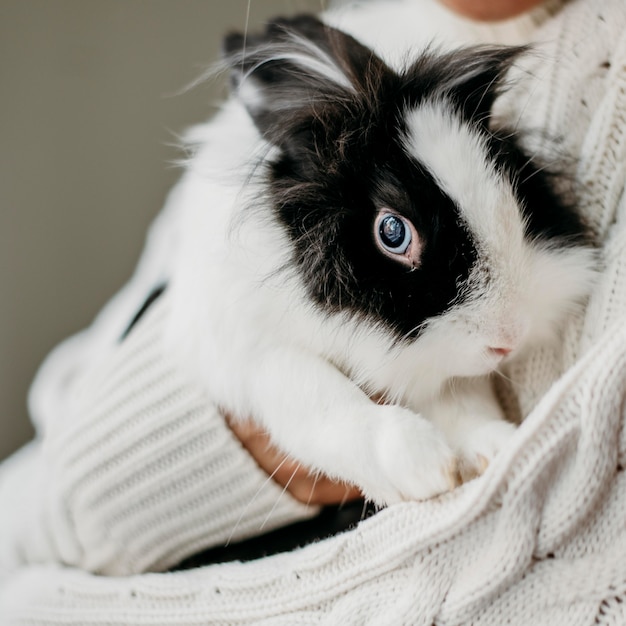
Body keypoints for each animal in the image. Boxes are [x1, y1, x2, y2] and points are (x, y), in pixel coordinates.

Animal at [166, 13, 596, 502]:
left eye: (510, 175)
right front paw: (426, 468)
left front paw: (496, 446)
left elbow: (460, 398)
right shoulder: (253, 350)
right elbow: (323, 400)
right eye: (393, 232)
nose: (508, 339)